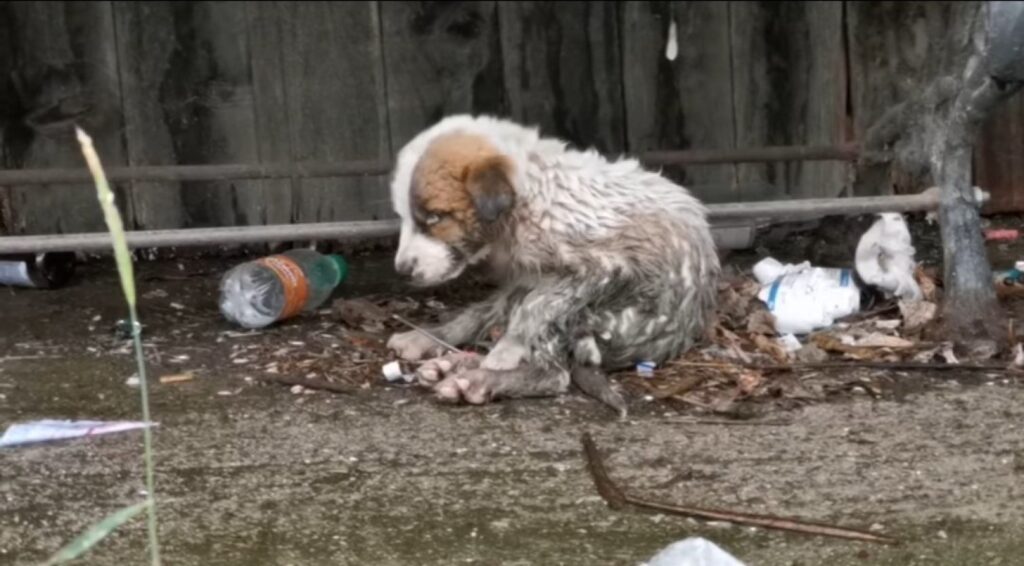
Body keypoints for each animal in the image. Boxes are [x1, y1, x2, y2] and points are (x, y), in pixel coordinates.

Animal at [385, 115, 720, 415]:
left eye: (434, 217)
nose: (401, 270)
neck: (529, 199)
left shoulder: (603, 268)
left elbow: (536, 308)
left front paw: (503, 353)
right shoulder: (525, 277)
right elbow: (480, 313)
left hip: (598, 316)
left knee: (554, 372)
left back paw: (478, 379)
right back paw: (444, 356)